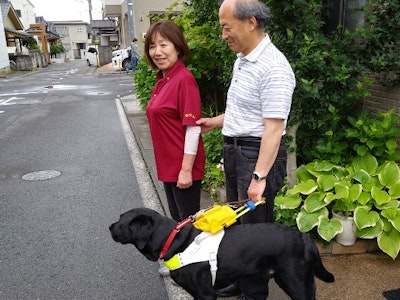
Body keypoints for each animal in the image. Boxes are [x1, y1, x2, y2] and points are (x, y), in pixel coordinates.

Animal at [109, 207, 334, 298]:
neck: (173, 240)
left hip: (297, 283)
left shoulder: (206, 294)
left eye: (121, 221)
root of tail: (304, 237)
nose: (109, 227)